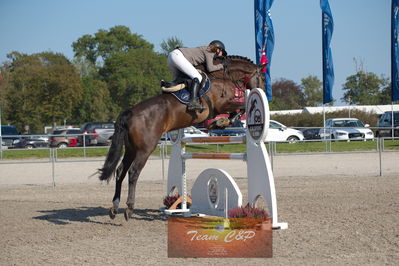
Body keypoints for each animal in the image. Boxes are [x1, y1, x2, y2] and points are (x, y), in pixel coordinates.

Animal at [97, 55, 266, 219]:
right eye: (261, 77)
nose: (264, 91)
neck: (223, 77)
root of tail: (130, 112)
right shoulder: (222, 105)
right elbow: (242, 106)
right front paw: (222, 121)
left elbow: (239, 108)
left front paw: (219, 123)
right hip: (145, 149)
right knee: (133, 172)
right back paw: (129, 208)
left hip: (131, 149)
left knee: (120, 171)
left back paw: (114, 207)